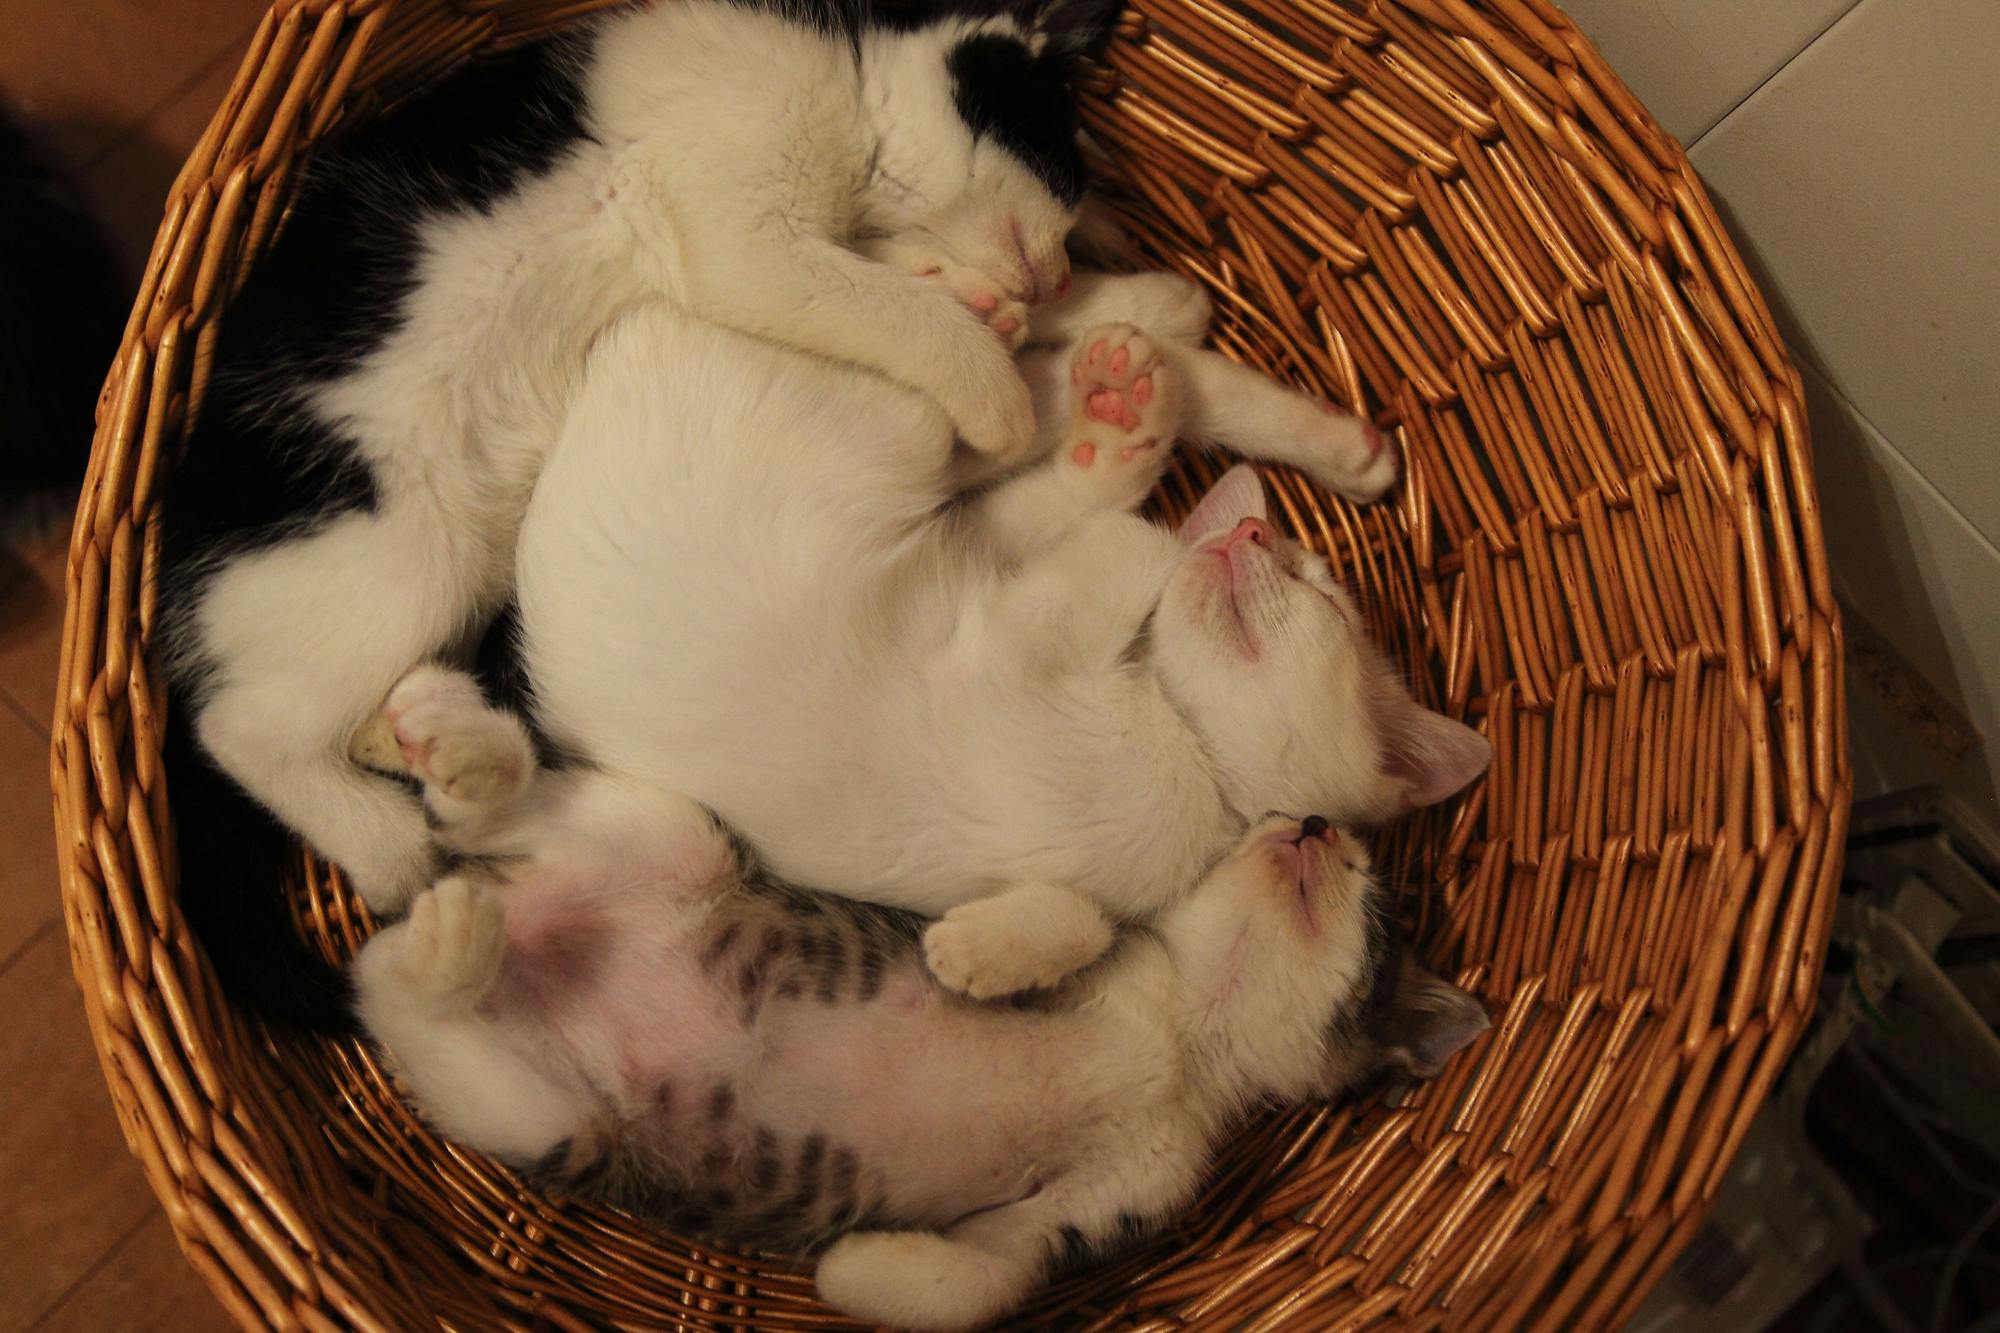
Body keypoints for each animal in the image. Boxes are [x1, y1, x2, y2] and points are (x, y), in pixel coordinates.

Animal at [156, 0, 1126, 1024]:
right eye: (1060, 166)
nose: (1064, 278)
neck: (848, 74)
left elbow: (886, 275)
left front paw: (967, 296)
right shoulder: (747, 225)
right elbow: (880, 303)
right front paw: (993, 387)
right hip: (399, 557)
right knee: (241, 729)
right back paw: (383, 841)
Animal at [354, 664, 1490, 1332]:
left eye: (1375, 907)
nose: (1311, 823)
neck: (1181, 1034)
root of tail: (527, 919)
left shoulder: (1112, 1199)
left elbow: (987, 1279)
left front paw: (854, 1267)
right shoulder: (1120, 955)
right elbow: (1078, 912)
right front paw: (980, 951)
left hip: (562, 1117)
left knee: (399, 987)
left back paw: (449, 933)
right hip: (679, 850)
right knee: (453, 877)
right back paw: (458, 752)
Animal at [512, 282, 1491, 1000]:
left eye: (1323, 596)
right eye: (1304, 571)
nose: (1249, 533)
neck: (1177, 731)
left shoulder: (998, 634)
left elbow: (1103, 536)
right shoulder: (994, 606)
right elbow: (1102, 527)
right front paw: (1151, 502)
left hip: (894, 438)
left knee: (1009, 384)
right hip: (896, 436)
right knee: (1006, 374)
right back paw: (1151, 366)